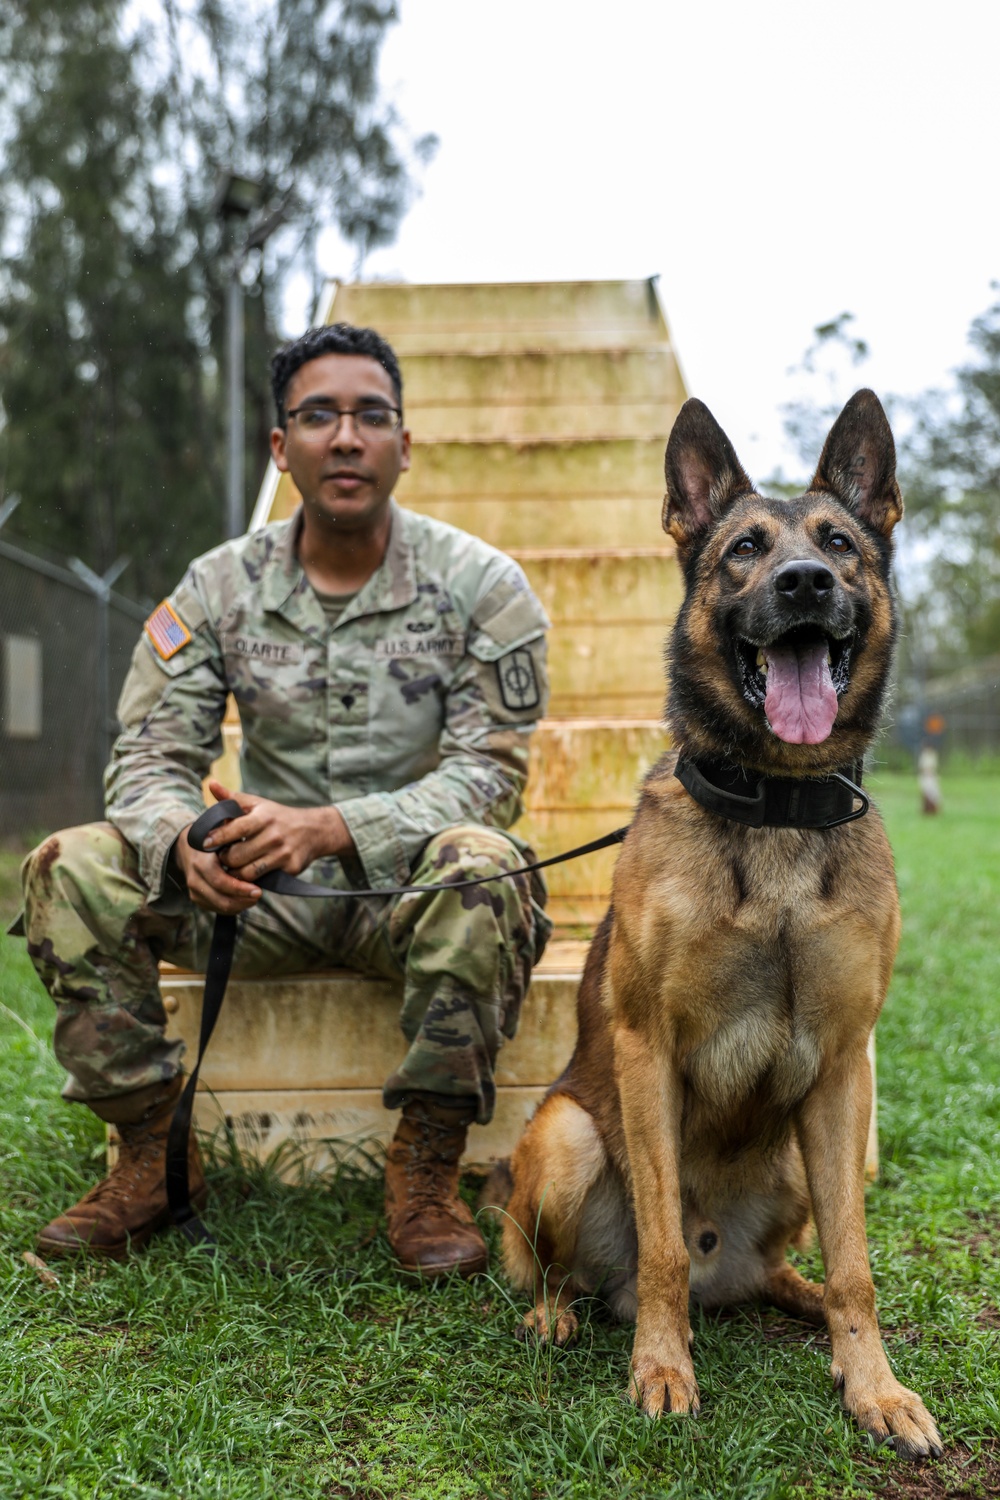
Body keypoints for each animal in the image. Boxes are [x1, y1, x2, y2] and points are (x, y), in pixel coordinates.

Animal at [503, 393, 941, 1458]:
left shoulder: (845, 1068)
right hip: (567, 1134)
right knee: (567, 1266)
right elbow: (661, 1245)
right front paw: (663, 1370)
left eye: (838, 542)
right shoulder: (646, 1050)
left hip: (807, 1160)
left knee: (803, 1268)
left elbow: (859, 1262)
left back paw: (810, 1306)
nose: (805, 581)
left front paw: (876, 1387)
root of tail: (727, 1269)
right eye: (745, 548)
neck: (776, 804)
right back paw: (559, 1314)